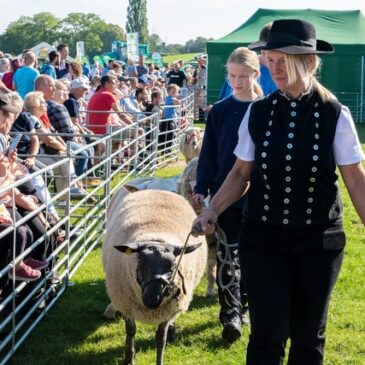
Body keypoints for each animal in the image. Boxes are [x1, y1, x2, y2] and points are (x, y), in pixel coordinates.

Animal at [101, 188, 205, 364]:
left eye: (173, 266)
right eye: (141, 263)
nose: (152, 299)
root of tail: (158, 189)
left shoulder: (168, 310)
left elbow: (160, 338)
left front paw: (159, 359)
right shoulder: (127, 304)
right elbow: (131, 331)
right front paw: (129, 358)